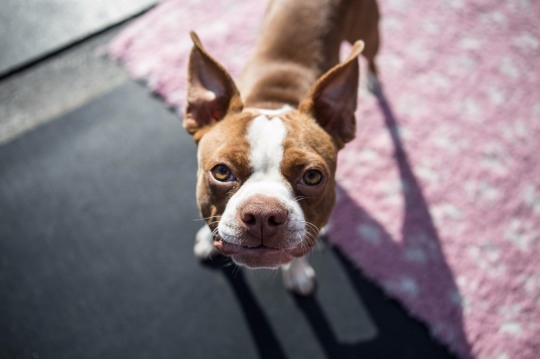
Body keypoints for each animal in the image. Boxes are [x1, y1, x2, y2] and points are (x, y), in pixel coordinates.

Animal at [185, 0, 380, 296]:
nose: (263, 214)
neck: (273, 102)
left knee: (371, 56)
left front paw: (297, 275)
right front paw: (207, 241)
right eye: (221, 172)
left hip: (369, 33)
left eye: (312, 176)